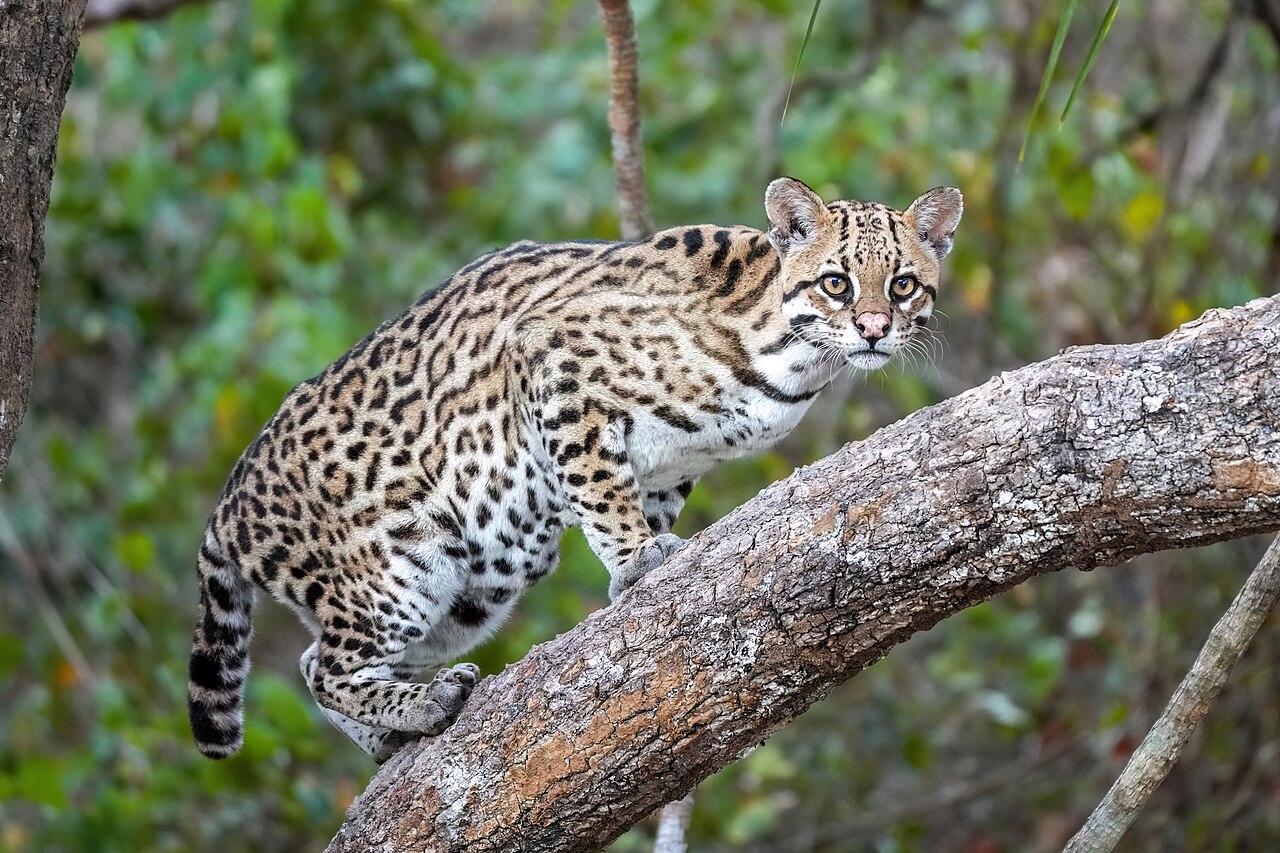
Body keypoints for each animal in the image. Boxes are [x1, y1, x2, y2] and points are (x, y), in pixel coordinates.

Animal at [187, 177, 963, 763]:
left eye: (902, 285)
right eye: (836, 283)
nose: (873, 329)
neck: (795, 359)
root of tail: (229, 501)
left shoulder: (669, 463)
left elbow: (633, 494)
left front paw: (642, 558)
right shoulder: (552, 360)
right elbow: (599, 488)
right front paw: (638, 559)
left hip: (481, 581)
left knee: (311, 661)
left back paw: (389, 735)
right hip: (394, 573)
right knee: (330, 666)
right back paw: (425, 702)